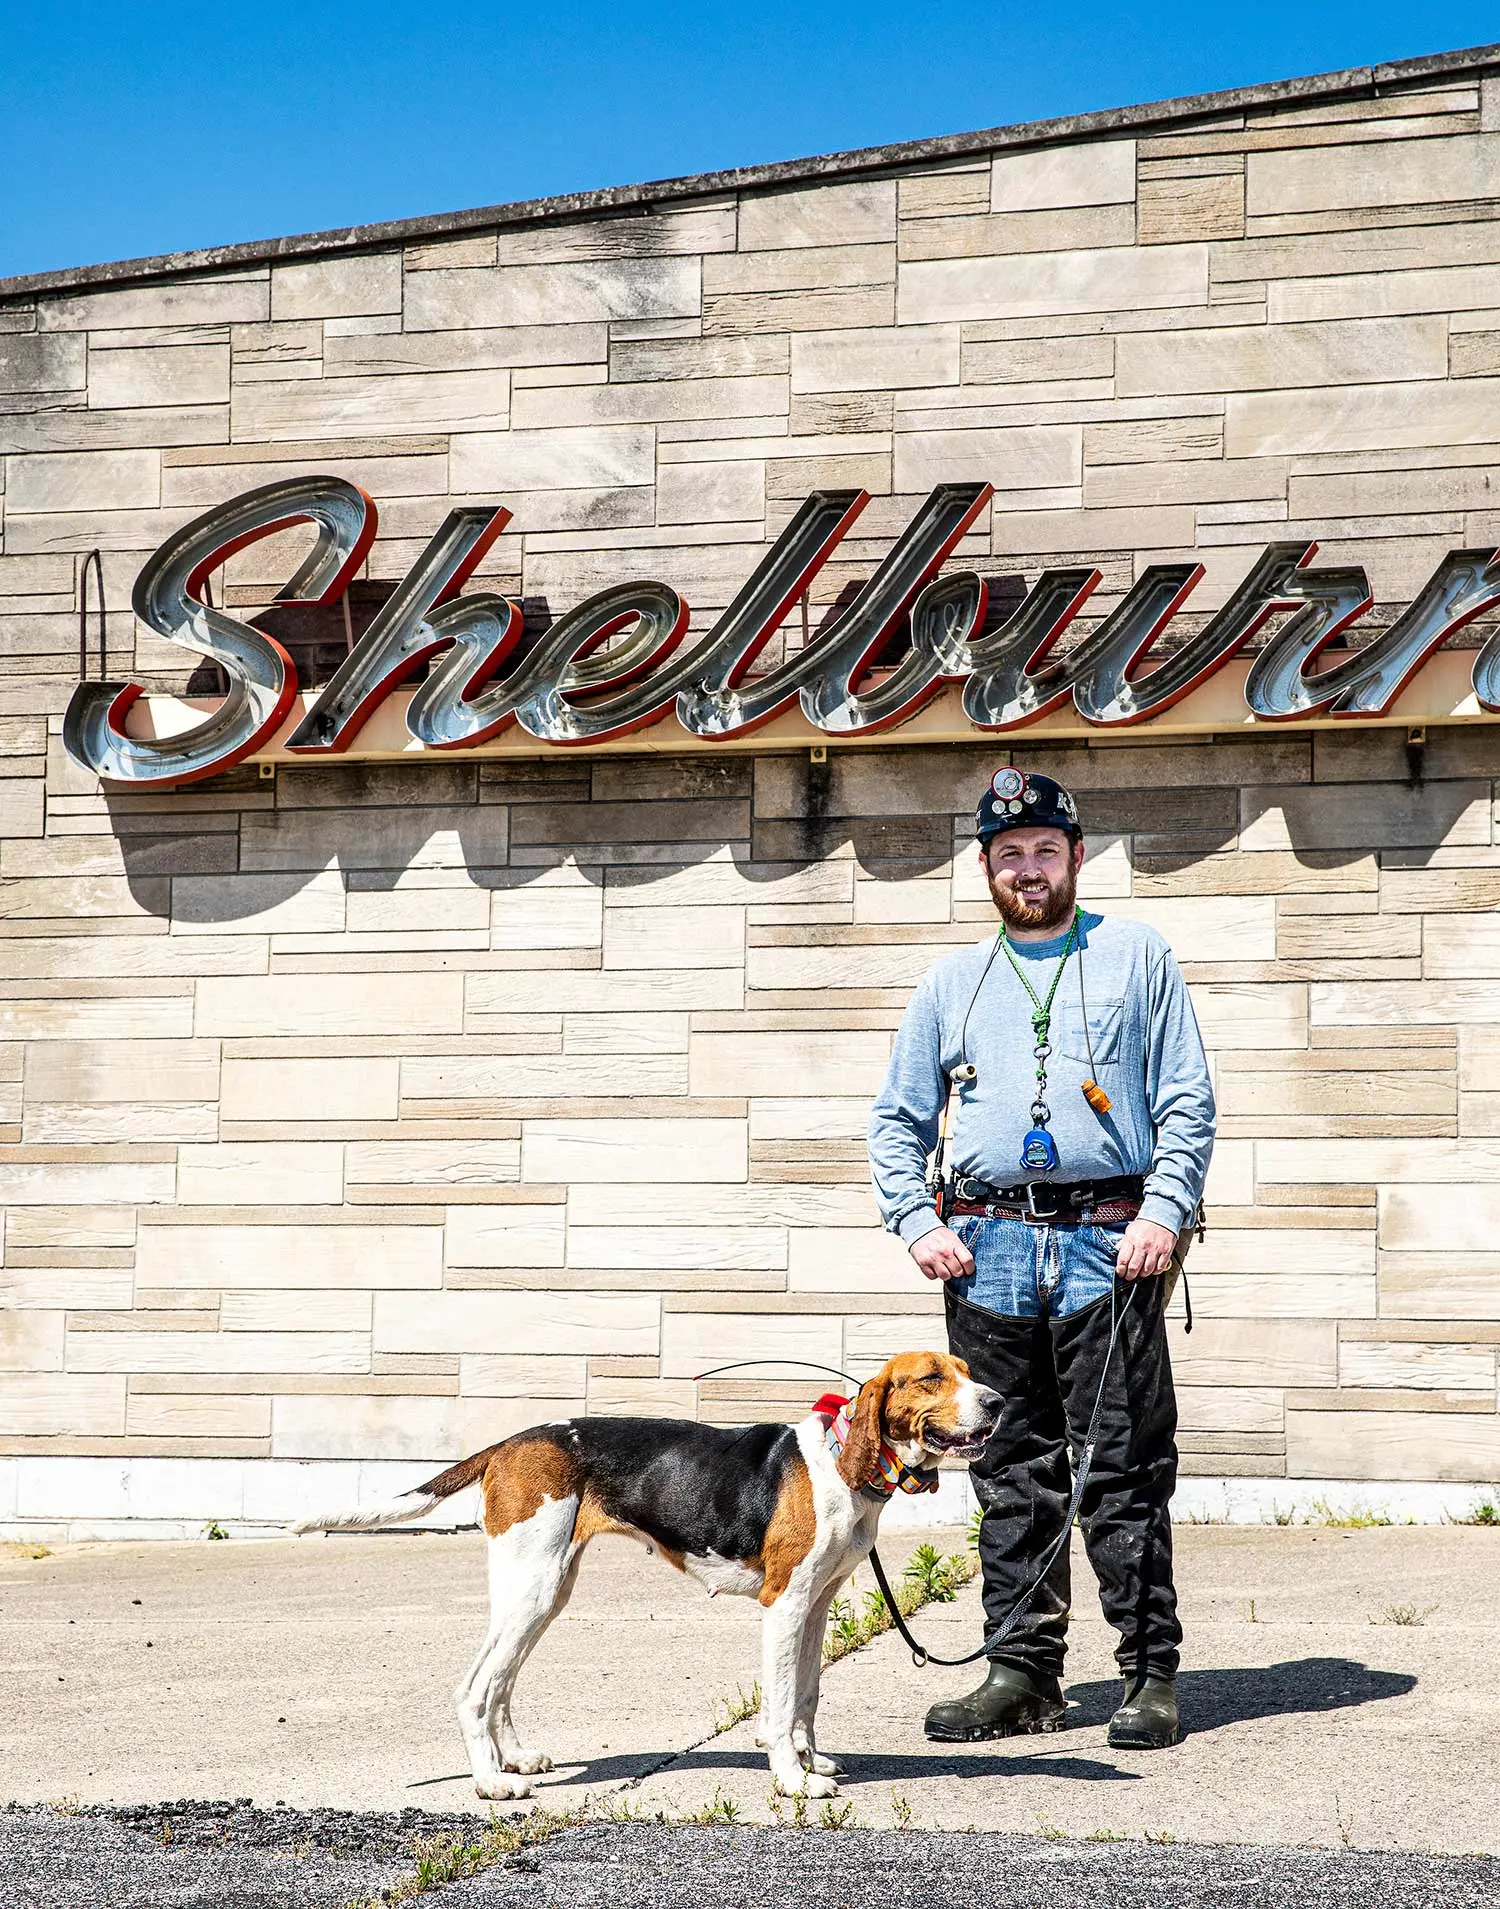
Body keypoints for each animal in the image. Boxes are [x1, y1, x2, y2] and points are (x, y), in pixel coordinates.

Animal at [290, 1351, 992, 1794]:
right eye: (931, 1377)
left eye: (968, 1372)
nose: (999, 1400)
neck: (844, 1465)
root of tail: (511, 1442)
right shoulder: (784, 1604)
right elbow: (780, 1701)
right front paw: (793, 1782)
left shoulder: (817, 1604)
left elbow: (807, 1697)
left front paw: (811, 1763)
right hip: (532, 1587)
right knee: (475, 1687)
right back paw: (490, 1783)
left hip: (546, 1590)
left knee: (501, 1683)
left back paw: (514, 1760)